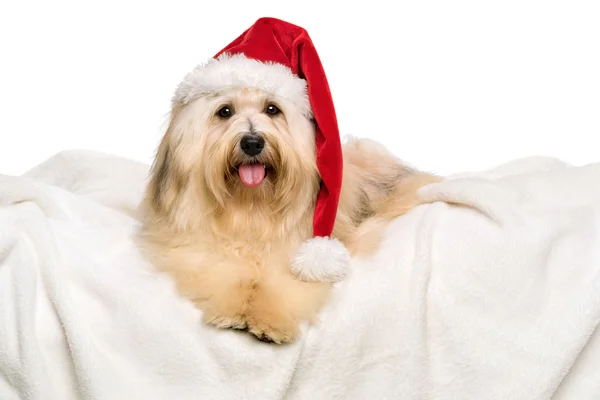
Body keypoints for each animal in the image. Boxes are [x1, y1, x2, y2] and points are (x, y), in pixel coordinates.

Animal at [136, 86, 440, 342]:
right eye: (224, 111)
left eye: (272, 109)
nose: (252, 142)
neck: (250, 207)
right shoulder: (197, 247)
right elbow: (224, 271)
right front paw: (233, 310)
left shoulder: (298, 248)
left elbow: (286, 282)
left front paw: (270, 320)